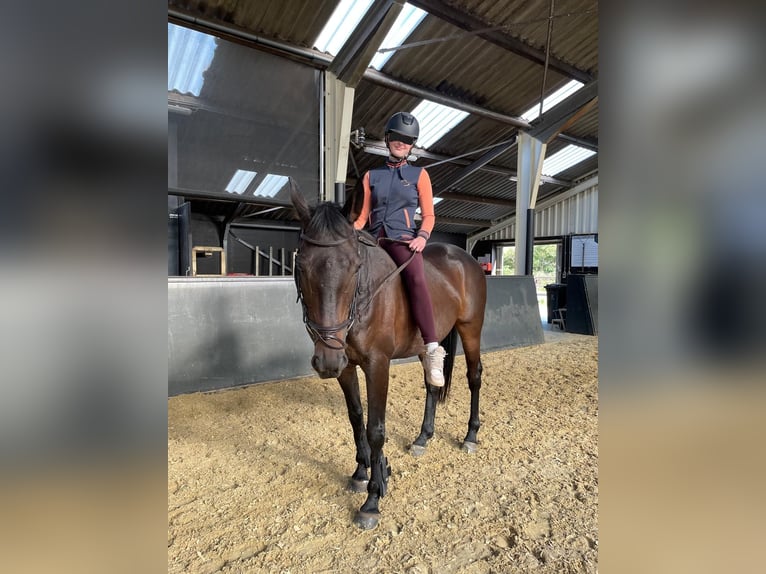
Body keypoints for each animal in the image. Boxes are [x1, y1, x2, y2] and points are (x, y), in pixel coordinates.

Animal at [290, 181, 487, 530]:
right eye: (301, 266)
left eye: (355, 266)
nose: (325, 361)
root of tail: (464, 257)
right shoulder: (344, 366)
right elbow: (356, 418)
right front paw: (362, 471)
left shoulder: (377, 364)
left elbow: (376, 428)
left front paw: (373, 498)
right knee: (432, 384)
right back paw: (423, 438)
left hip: (471, 329)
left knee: (473, 377)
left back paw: (471, 436)